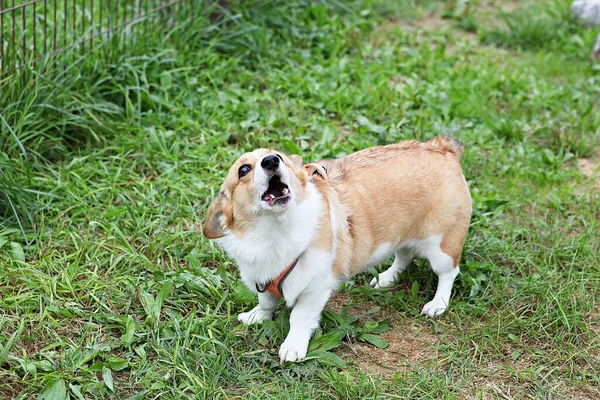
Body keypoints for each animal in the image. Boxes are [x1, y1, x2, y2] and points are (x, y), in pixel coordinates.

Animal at [204, 137, 472, 362]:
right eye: (243, 170)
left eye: (279, 156)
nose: (271, 161)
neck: (274, 231)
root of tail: (442, 147)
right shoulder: (261, 278)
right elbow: (266, 301)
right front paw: (257, 316)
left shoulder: (314, 290)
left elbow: (299, 317)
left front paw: (293, 346)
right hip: (400, 235)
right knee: (404, 255)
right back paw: (387, 278)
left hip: (441, 247)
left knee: (448, 273)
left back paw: (437, 303)